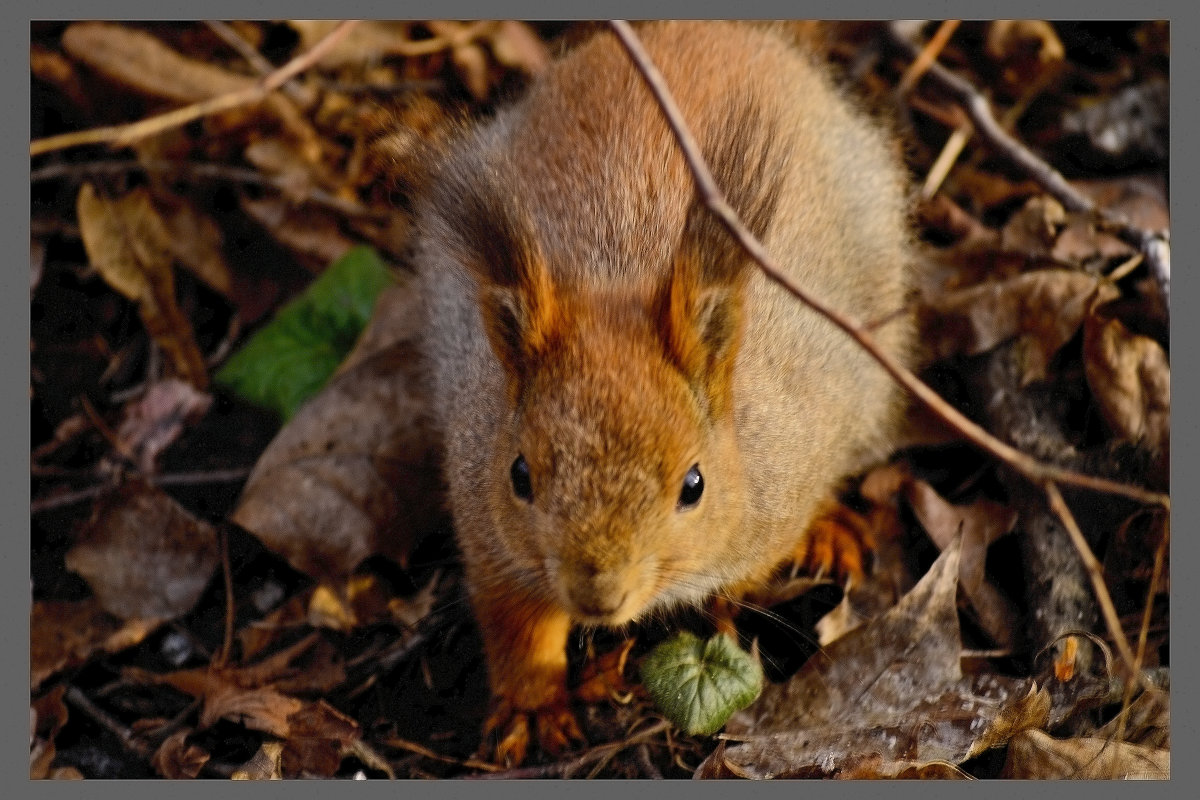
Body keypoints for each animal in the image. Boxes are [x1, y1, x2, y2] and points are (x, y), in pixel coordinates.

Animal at [408, 21, 912, 767]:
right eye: (520, 475)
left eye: (693, 486)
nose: (598, 594)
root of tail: (720, 30)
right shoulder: (486, 517)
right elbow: (514, 620)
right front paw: (533, 704)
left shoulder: (785, 478)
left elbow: (751, 566)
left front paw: (724, 605)